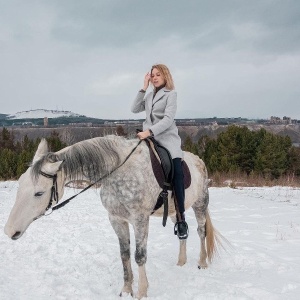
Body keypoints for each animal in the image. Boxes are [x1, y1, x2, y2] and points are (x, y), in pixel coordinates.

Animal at [3, 137, 221, 300]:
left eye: (39, 193)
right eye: (20, 184)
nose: (9, 230)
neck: (118, 171)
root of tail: (198, 160)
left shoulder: (140, 220)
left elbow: (139, 256)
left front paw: (141, 292)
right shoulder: (116, 219)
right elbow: (124, 255)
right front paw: (126, 290)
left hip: (200, 203)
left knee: (201, 231)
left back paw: (202, 262)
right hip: (177, 210)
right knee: (183, 233)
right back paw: (181, 262)